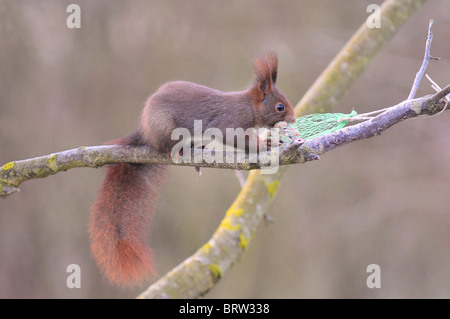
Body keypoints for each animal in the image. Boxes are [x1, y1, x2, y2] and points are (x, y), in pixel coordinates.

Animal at [89, 52, 298, 288]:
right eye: (280, 107)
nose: (293, 119)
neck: (249, 107)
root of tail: (145, 132)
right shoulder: (231, 121)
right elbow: (236, 139)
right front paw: (264, 145)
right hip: (165, 128)